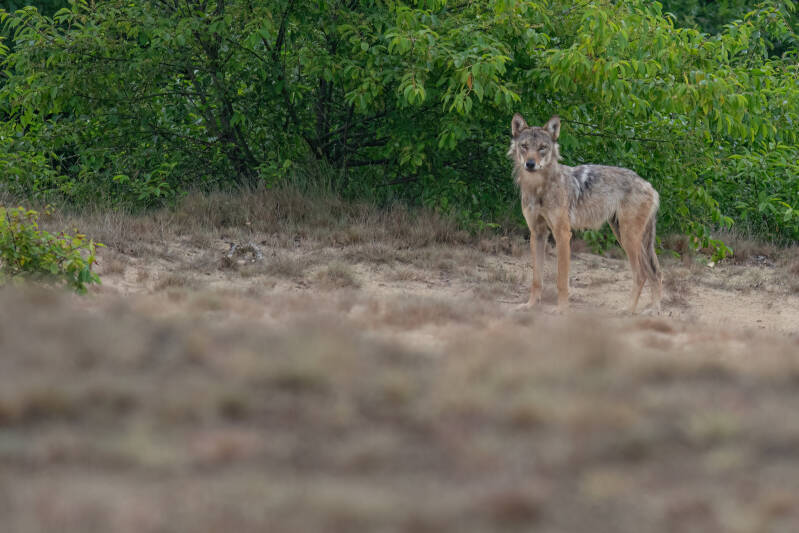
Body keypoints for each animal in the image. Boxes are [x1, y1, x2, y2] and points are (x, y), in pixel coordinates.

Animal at [508, 113, 662, 313]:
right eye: (524, 146)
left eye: (542, 148)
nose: (530, 164)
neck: (538, 189)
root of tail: (649, 186)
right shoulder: (537, 234)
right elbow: (536, 280)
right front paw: (530, 305)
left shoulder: (562, 234)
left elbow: (561, 280)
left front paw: (561, 309)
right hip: (625, 236)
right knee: (655, 272)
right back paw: (655, 310)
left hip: (628, 239)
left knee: (642, 274)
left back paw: (628, 310)